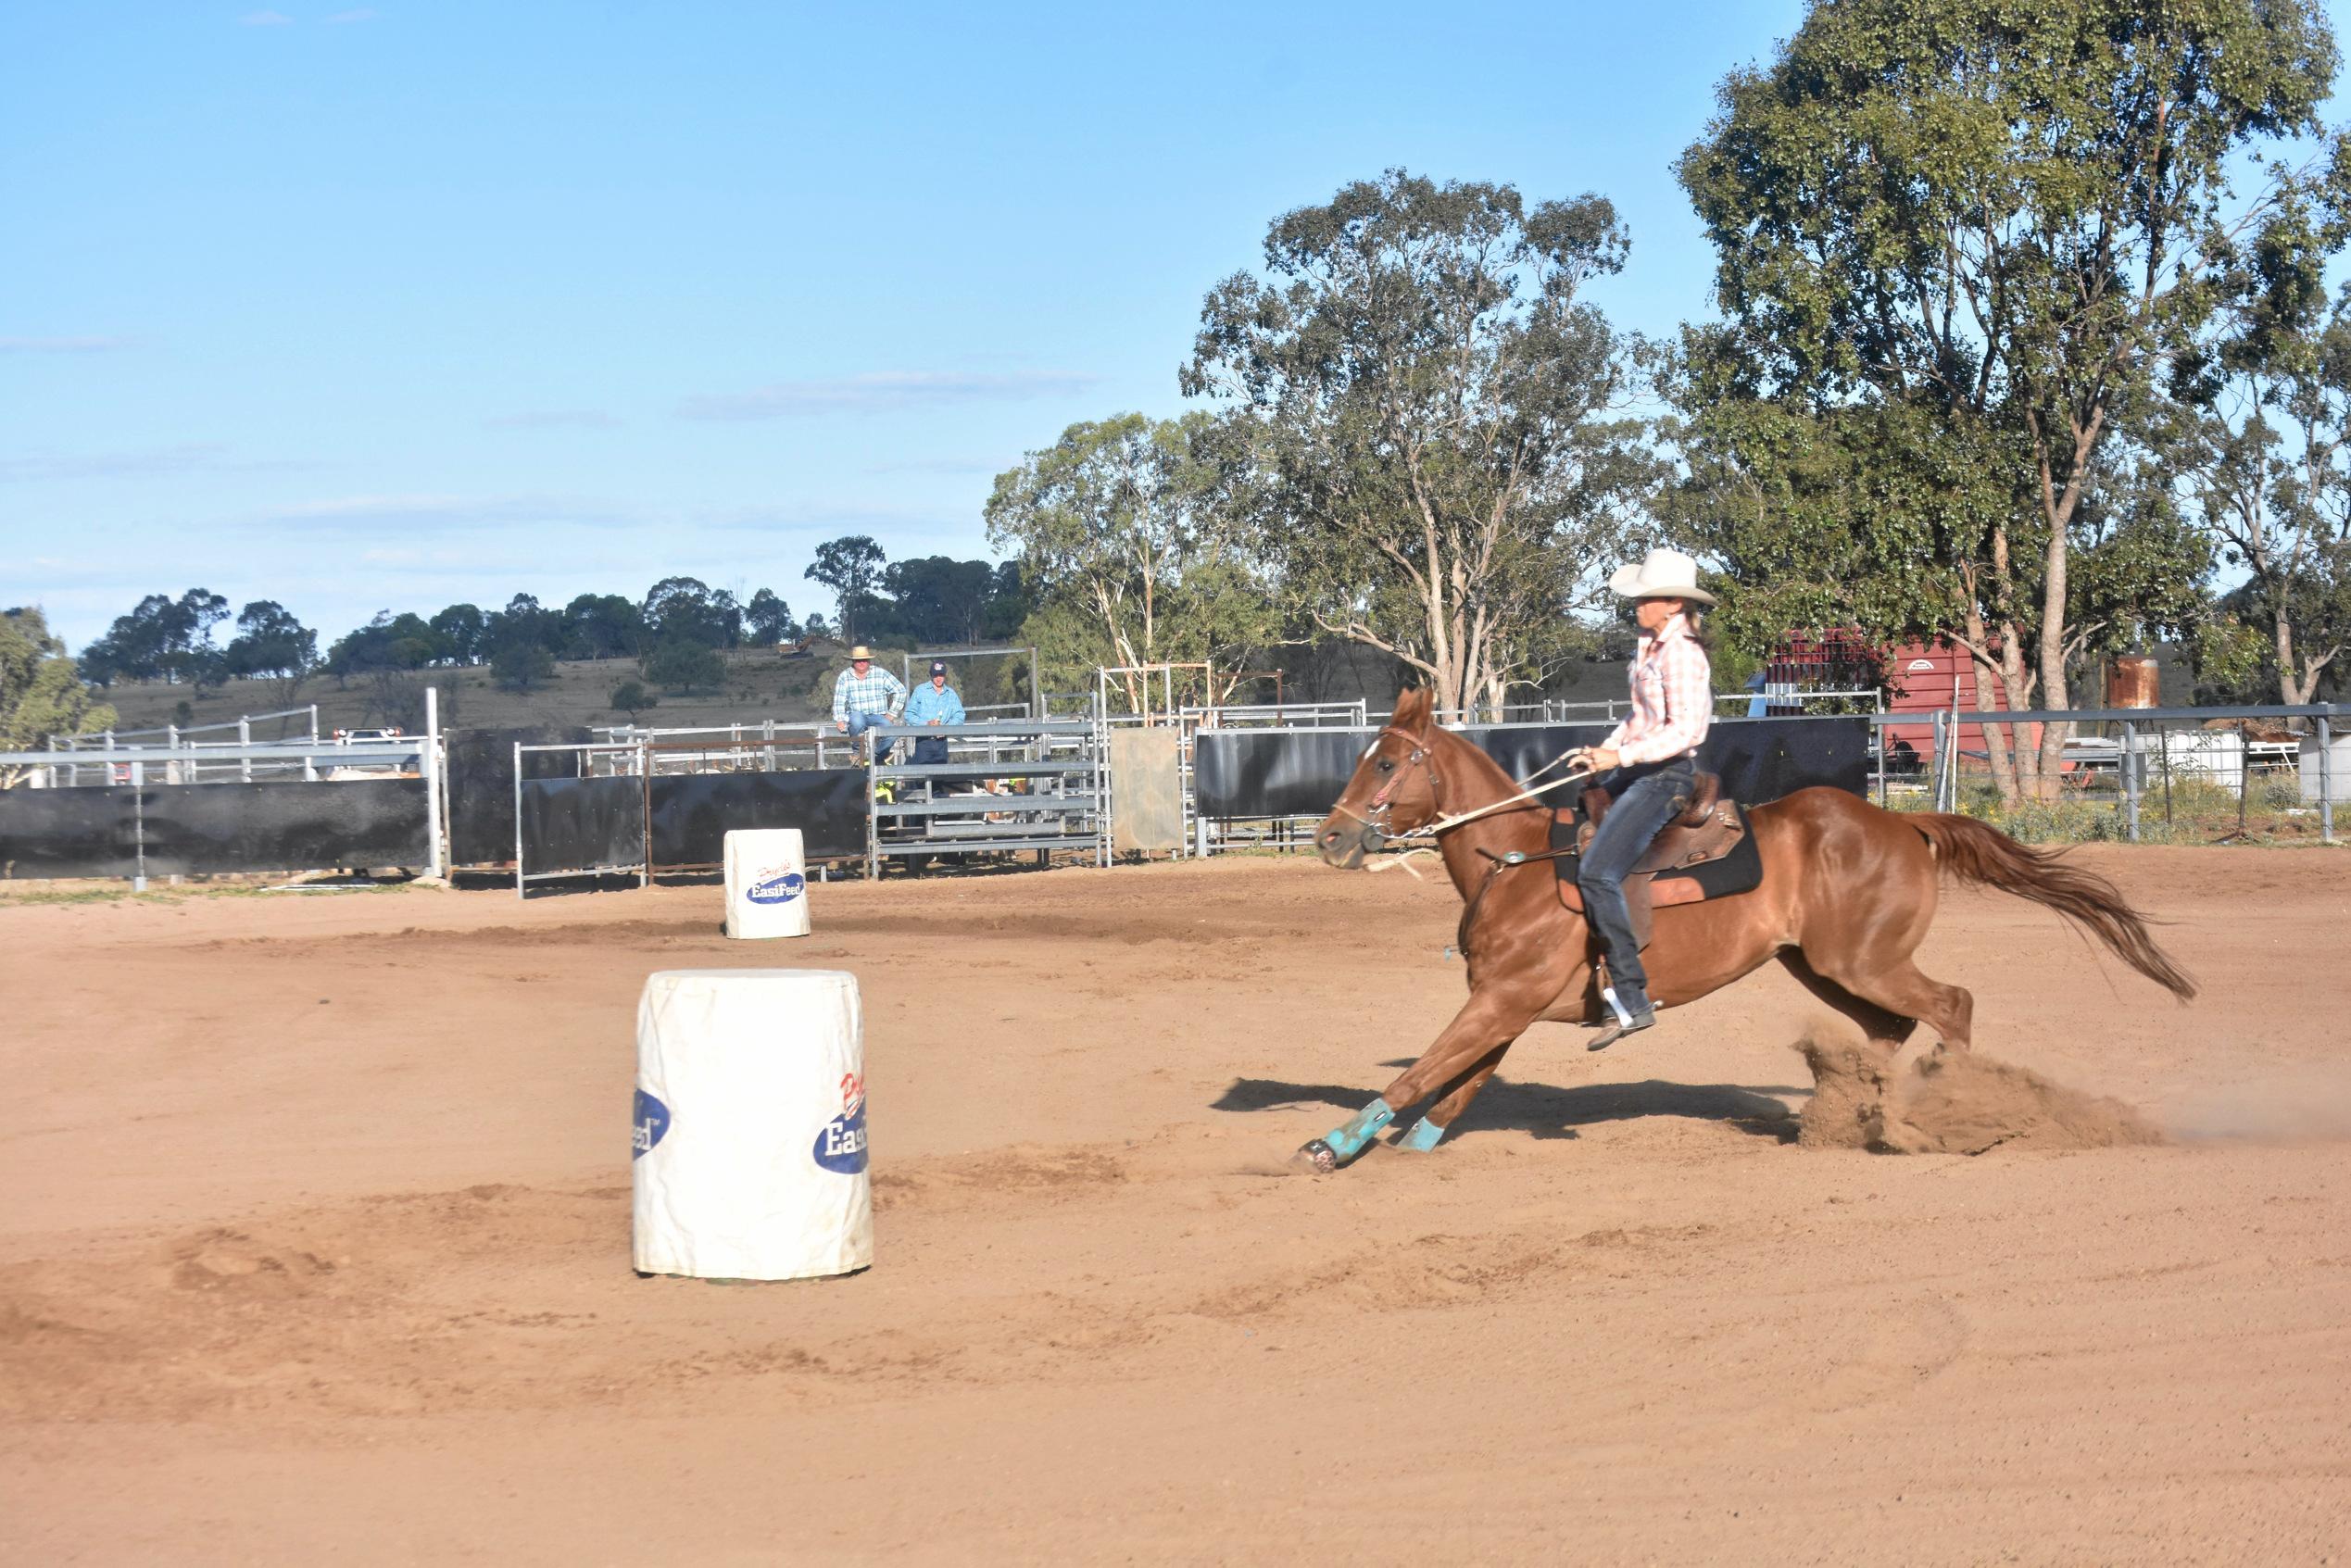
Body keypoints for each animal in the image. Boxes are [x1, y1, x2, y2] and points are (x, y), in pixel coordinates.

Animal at [1297, 691, 2191, 1171]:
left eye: (1386, 763)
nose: (1329, 838)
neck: (1515, 859)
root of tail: (1905, 824)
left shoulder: (1502, 999)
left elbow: (1428, 1069)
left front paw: (1334, 1143)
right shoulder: (1507, 1004)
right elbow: (1458, 1082)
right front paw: (1404, 1149)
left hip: (1863, 959)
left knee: (1952, 1004)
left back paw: (1952, 1110)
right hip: (1820, 964)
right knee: (1893, 1027)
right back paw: (1860, 1115)